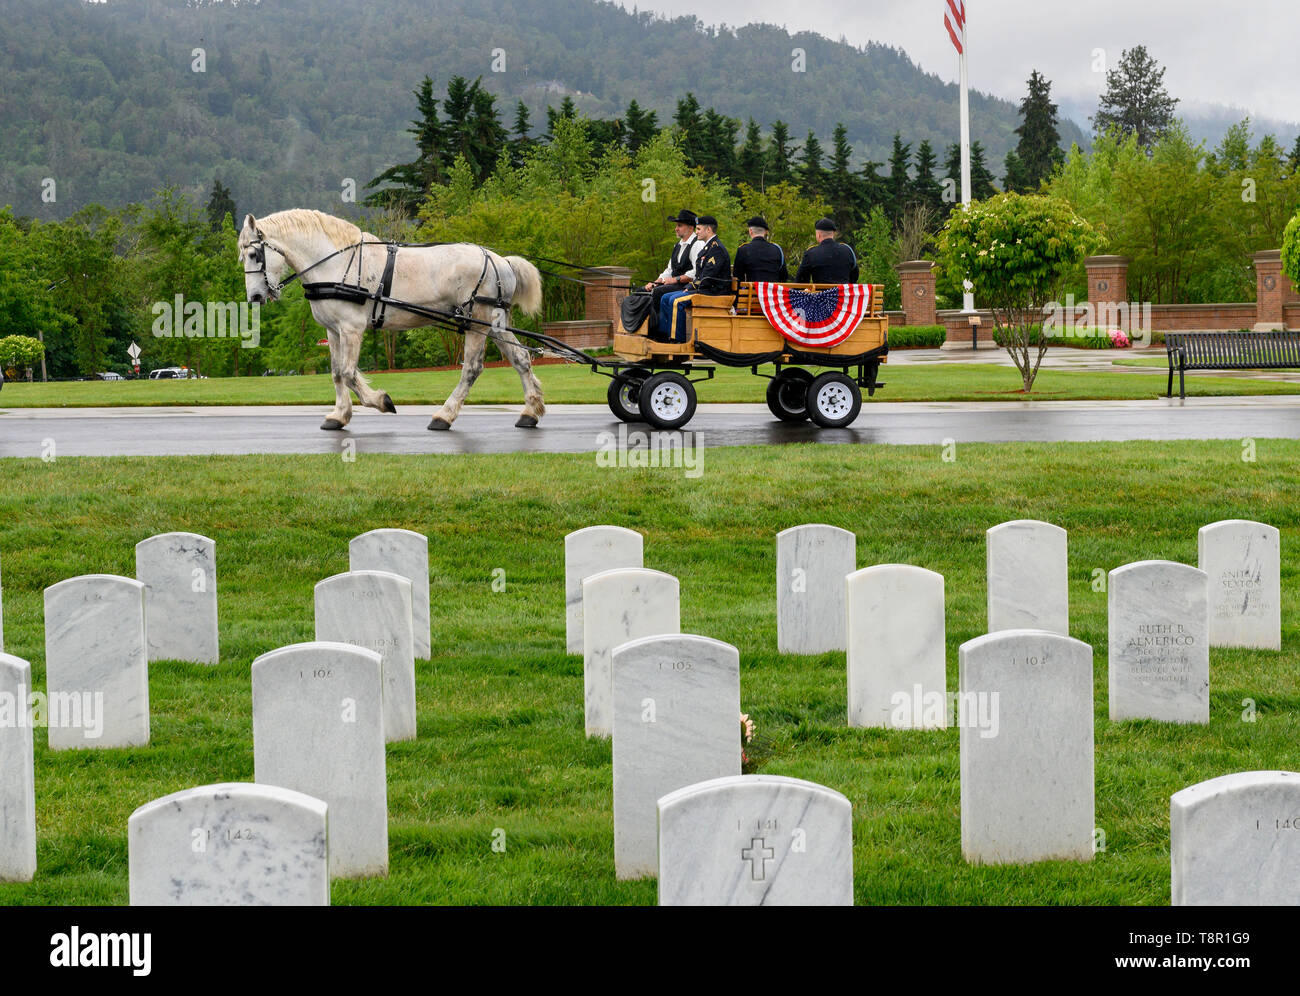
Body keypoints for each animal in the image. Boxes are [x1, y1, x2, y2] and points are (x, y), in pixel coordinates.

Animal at [237, 208, 543, 431]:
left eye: (253, 254)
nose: (255, 297)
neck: (336, 263)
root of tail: (499, 260)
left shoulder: (352, 329)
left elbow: (349, 373)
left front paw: (381, 401)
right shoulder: (333, 331)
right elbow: (336, 373)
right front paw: (339, 415)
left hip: (477, 322)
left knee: (472, 369)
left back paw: (443, 416)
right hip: (496, 323)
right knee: (521, 359)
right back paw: (530, 411)